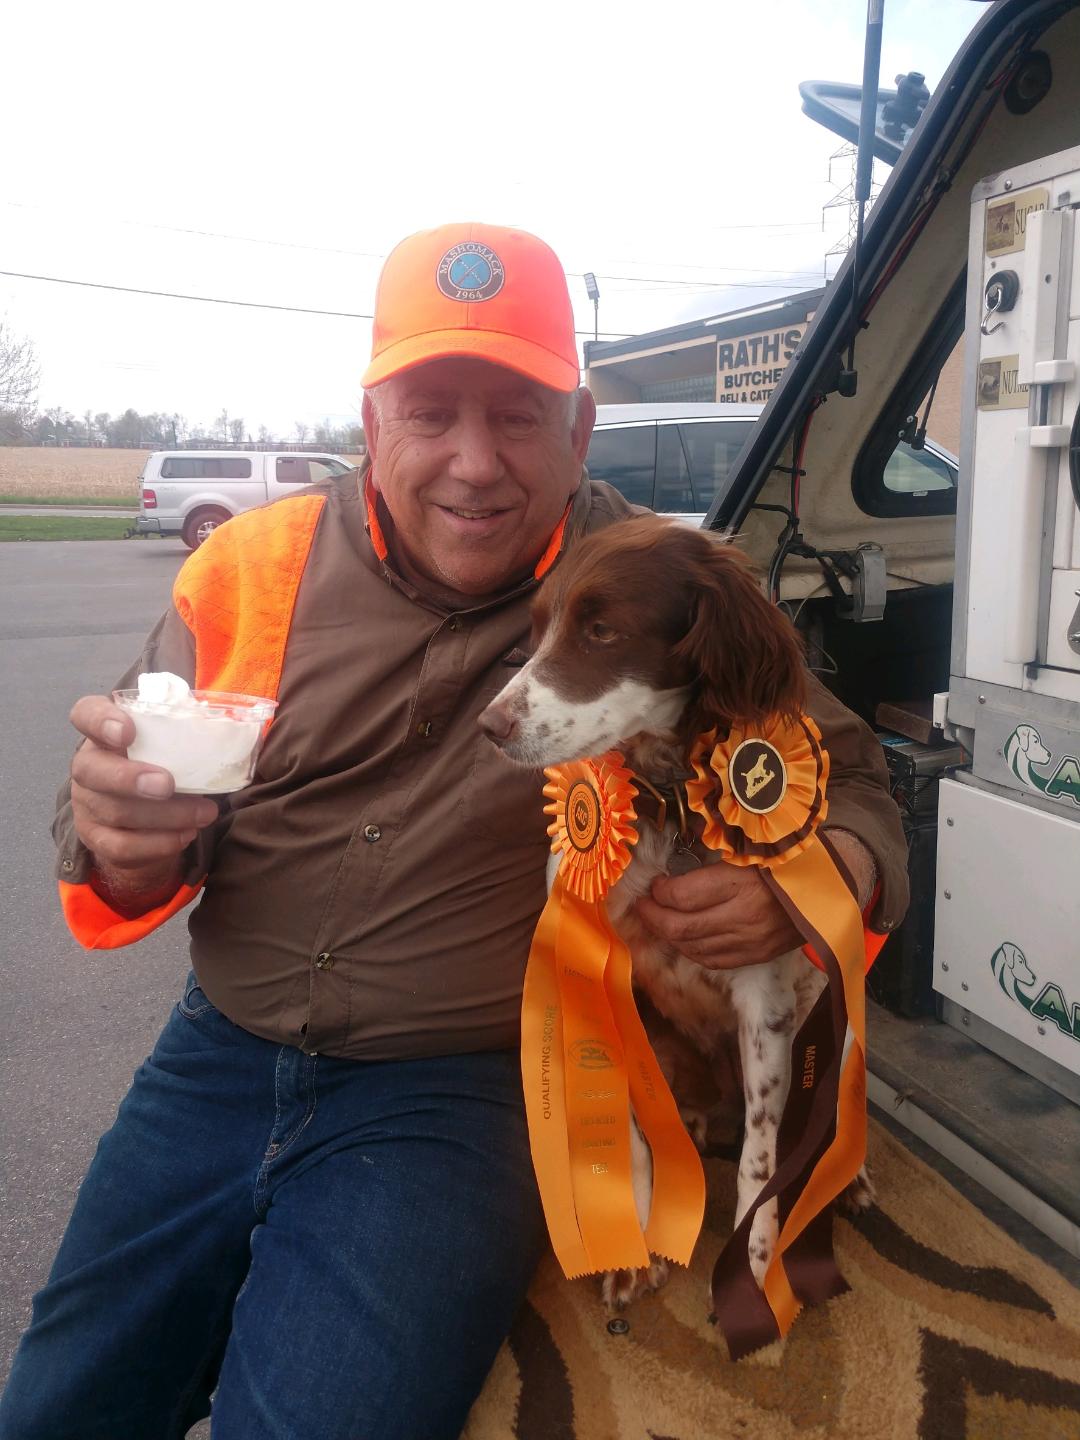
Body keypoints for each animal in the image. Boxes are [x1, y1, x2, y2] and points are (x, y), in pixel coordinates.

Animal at [480, 515, 869, 1307]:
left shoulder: (763, 1000)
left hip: (831, 1004)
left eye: (602, 630)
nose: (489, 726)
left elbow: (761, 1155)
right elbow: (627, 1122)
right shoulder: (608, 978)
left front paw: (755, 1268)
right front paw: (633, 1240)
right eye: (537, 627)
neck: (672, 812)